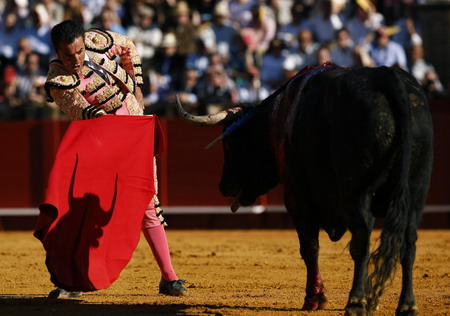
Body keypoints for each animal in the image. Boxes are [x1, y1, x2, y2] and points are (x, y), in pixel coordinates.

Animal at [176, 65, 432, 316]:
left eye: (229, 144)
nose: (223, 186)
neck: (275, 119)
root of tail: (386, 77)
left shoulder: (296, 198)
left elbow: (309, 247)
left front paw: (314, 298)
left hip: (357, 193)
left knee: (362, 238)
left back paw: (356, 302)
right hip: (415, 191)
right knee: (409, 241)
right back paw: (407, 305)